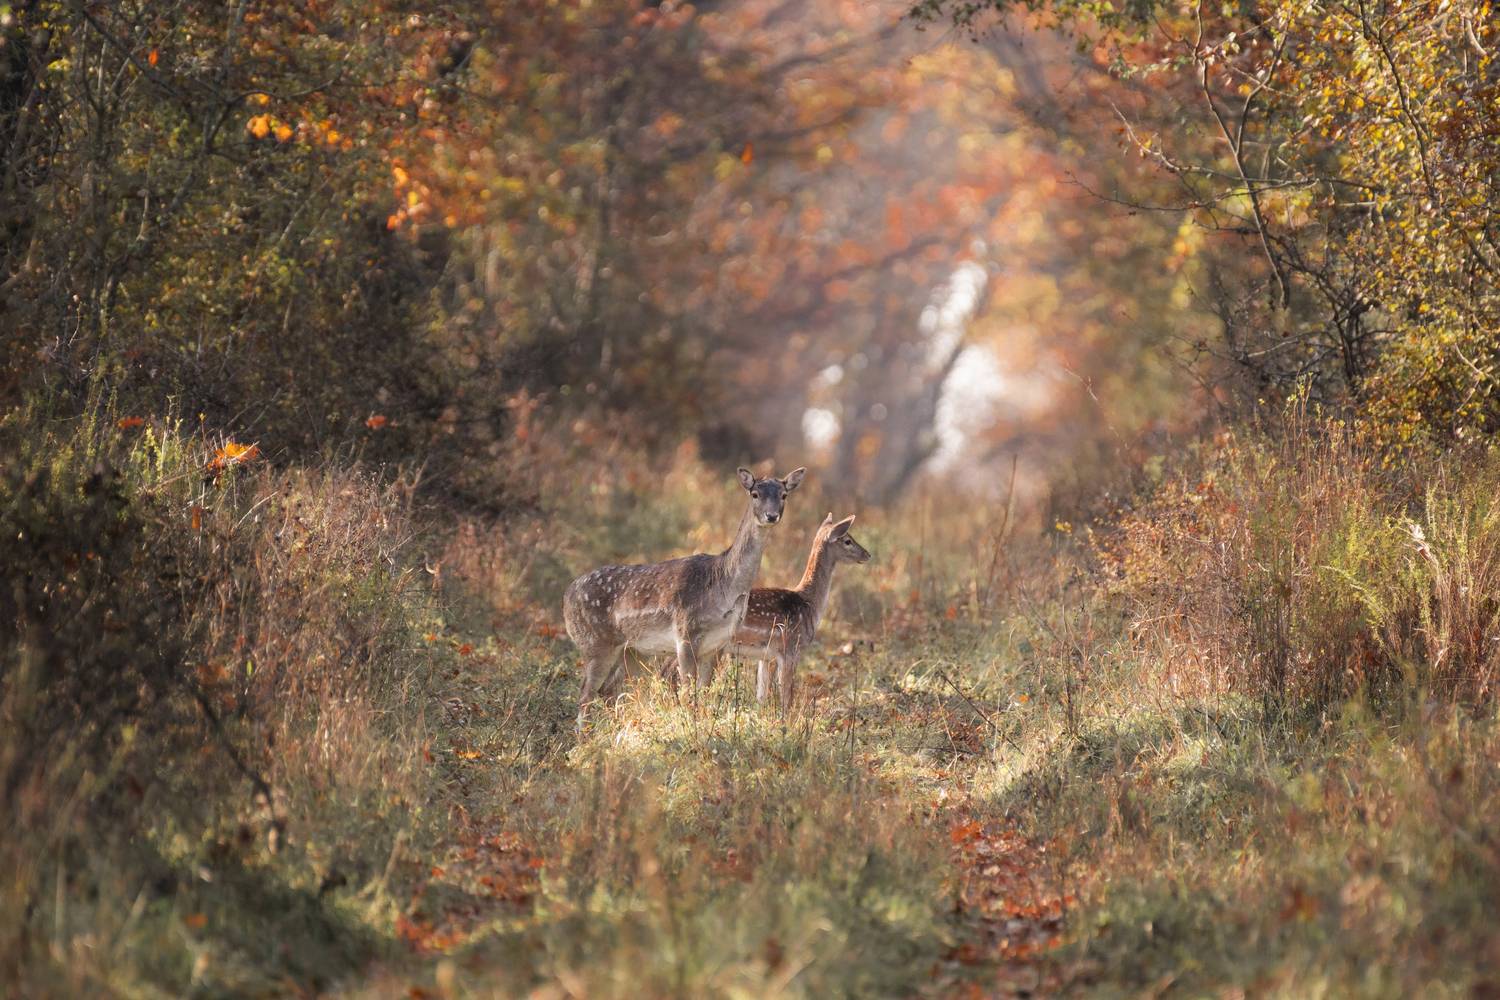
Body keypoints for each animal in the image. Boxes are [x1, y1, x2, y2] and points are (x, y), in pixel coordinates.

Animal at [563, 466, 806, 726]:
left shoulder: (718, 644)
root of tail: (566, 596)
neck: (724, 588)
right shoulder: (686, 633)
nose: (771, 516)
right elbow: (689, 693)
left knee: (606, 690)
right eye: (755, 494)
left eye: (783, 495)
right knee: (585, 694)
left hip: (632, 650)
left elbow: (704, 692)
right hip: (595, 642)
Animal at [727, 513, 871, 713]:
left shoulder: (766, 656)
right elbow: (787, 697)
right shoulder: (790, 648)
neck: (809, 605)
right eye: (847, 540)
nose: (867, 554)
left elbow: (762, 697)